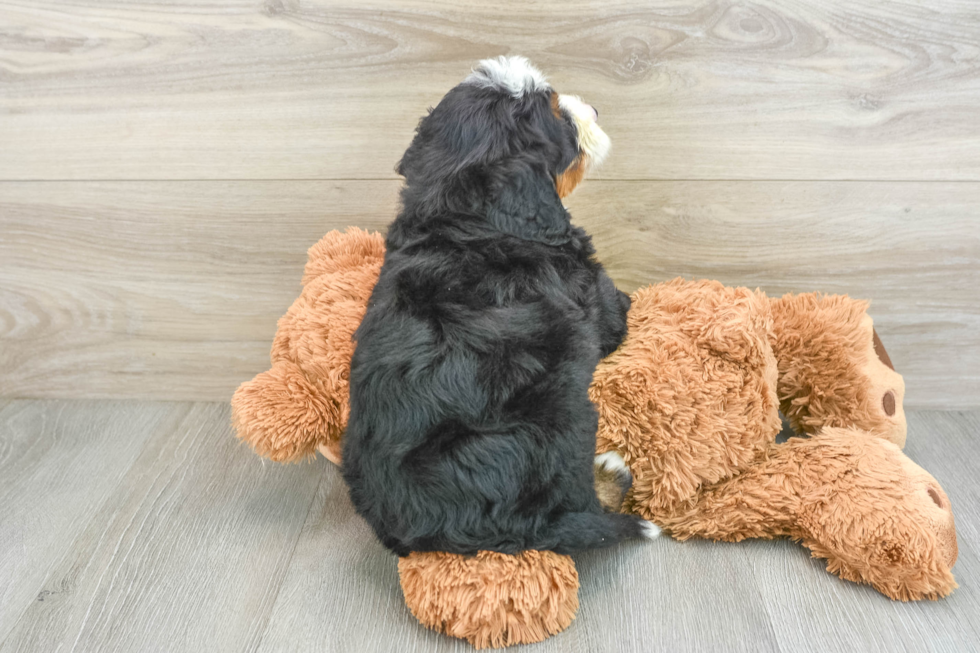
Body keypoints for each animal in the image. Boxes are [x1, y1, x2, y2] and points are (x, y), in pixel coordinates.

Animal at [342, 57, 660, 556]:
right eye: (559, 114)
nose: (593, 107)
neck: (461, 216)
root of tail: (442, 527)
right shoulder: (592, 293)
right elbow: (619, 309)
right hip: (561, 418)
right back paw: (610, 473)